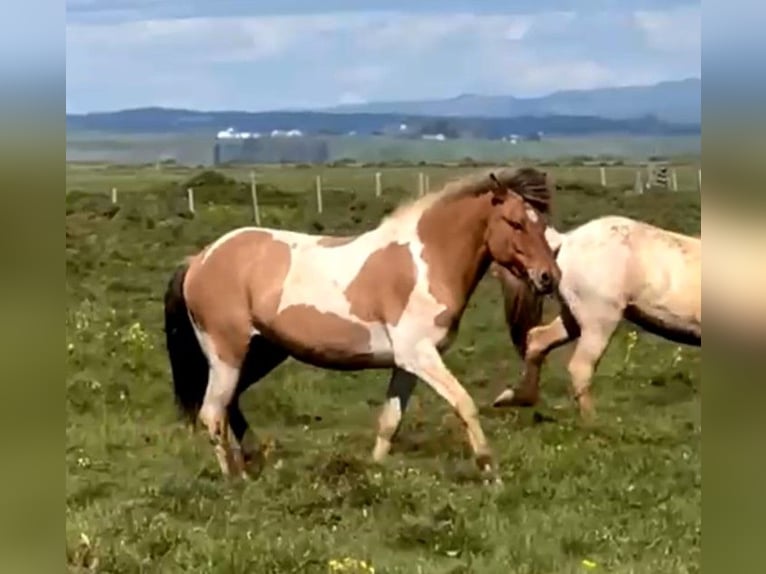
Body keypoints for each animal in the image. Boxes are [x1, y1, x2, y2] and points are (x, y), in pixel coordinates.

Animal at [163, 167, 561, 480]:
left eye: (542, 224)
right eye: (515, 222)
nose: (549, 278)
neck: (424, 263)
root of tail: (199, 259)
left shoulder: (407, 364)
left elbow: (390, 422)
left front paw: (375, 474)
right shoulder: (420, 356)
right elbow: (465, 404)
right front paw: (491, 471)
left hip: (262, 351)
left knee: (230, 405)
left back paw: (251, 464)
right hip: (226, 353)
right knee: (212, 412)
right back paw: (235, 479)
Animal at [491, 214, 701, 419]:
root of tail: (567, 239)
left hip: (573, 318)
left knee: (538, 339)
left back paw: (515, 398)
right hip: (599, 322)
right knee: (580, 367)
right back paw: (593, 422)